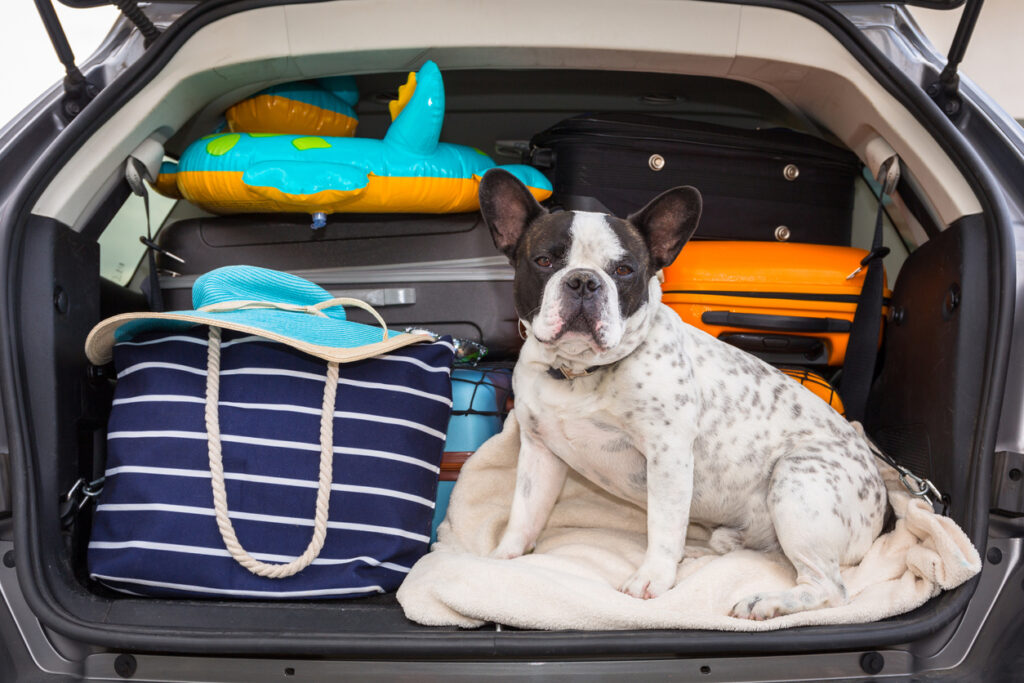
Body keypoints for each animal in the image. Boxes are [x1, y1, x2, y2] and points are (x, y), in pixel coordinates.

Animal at [479, 166, 888, 618]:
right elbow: (524, 513)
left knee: (829, 588)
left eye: (625, 270)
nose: (583, 281)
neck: (579, 371)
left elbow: (663, 523)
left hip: (795, 484)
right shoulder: (540, 453)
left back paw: (766, 601)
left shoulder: (668, 456)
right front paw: (502, 559)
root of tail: (882, 503)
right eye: (544, 261)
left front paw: (652, 578)